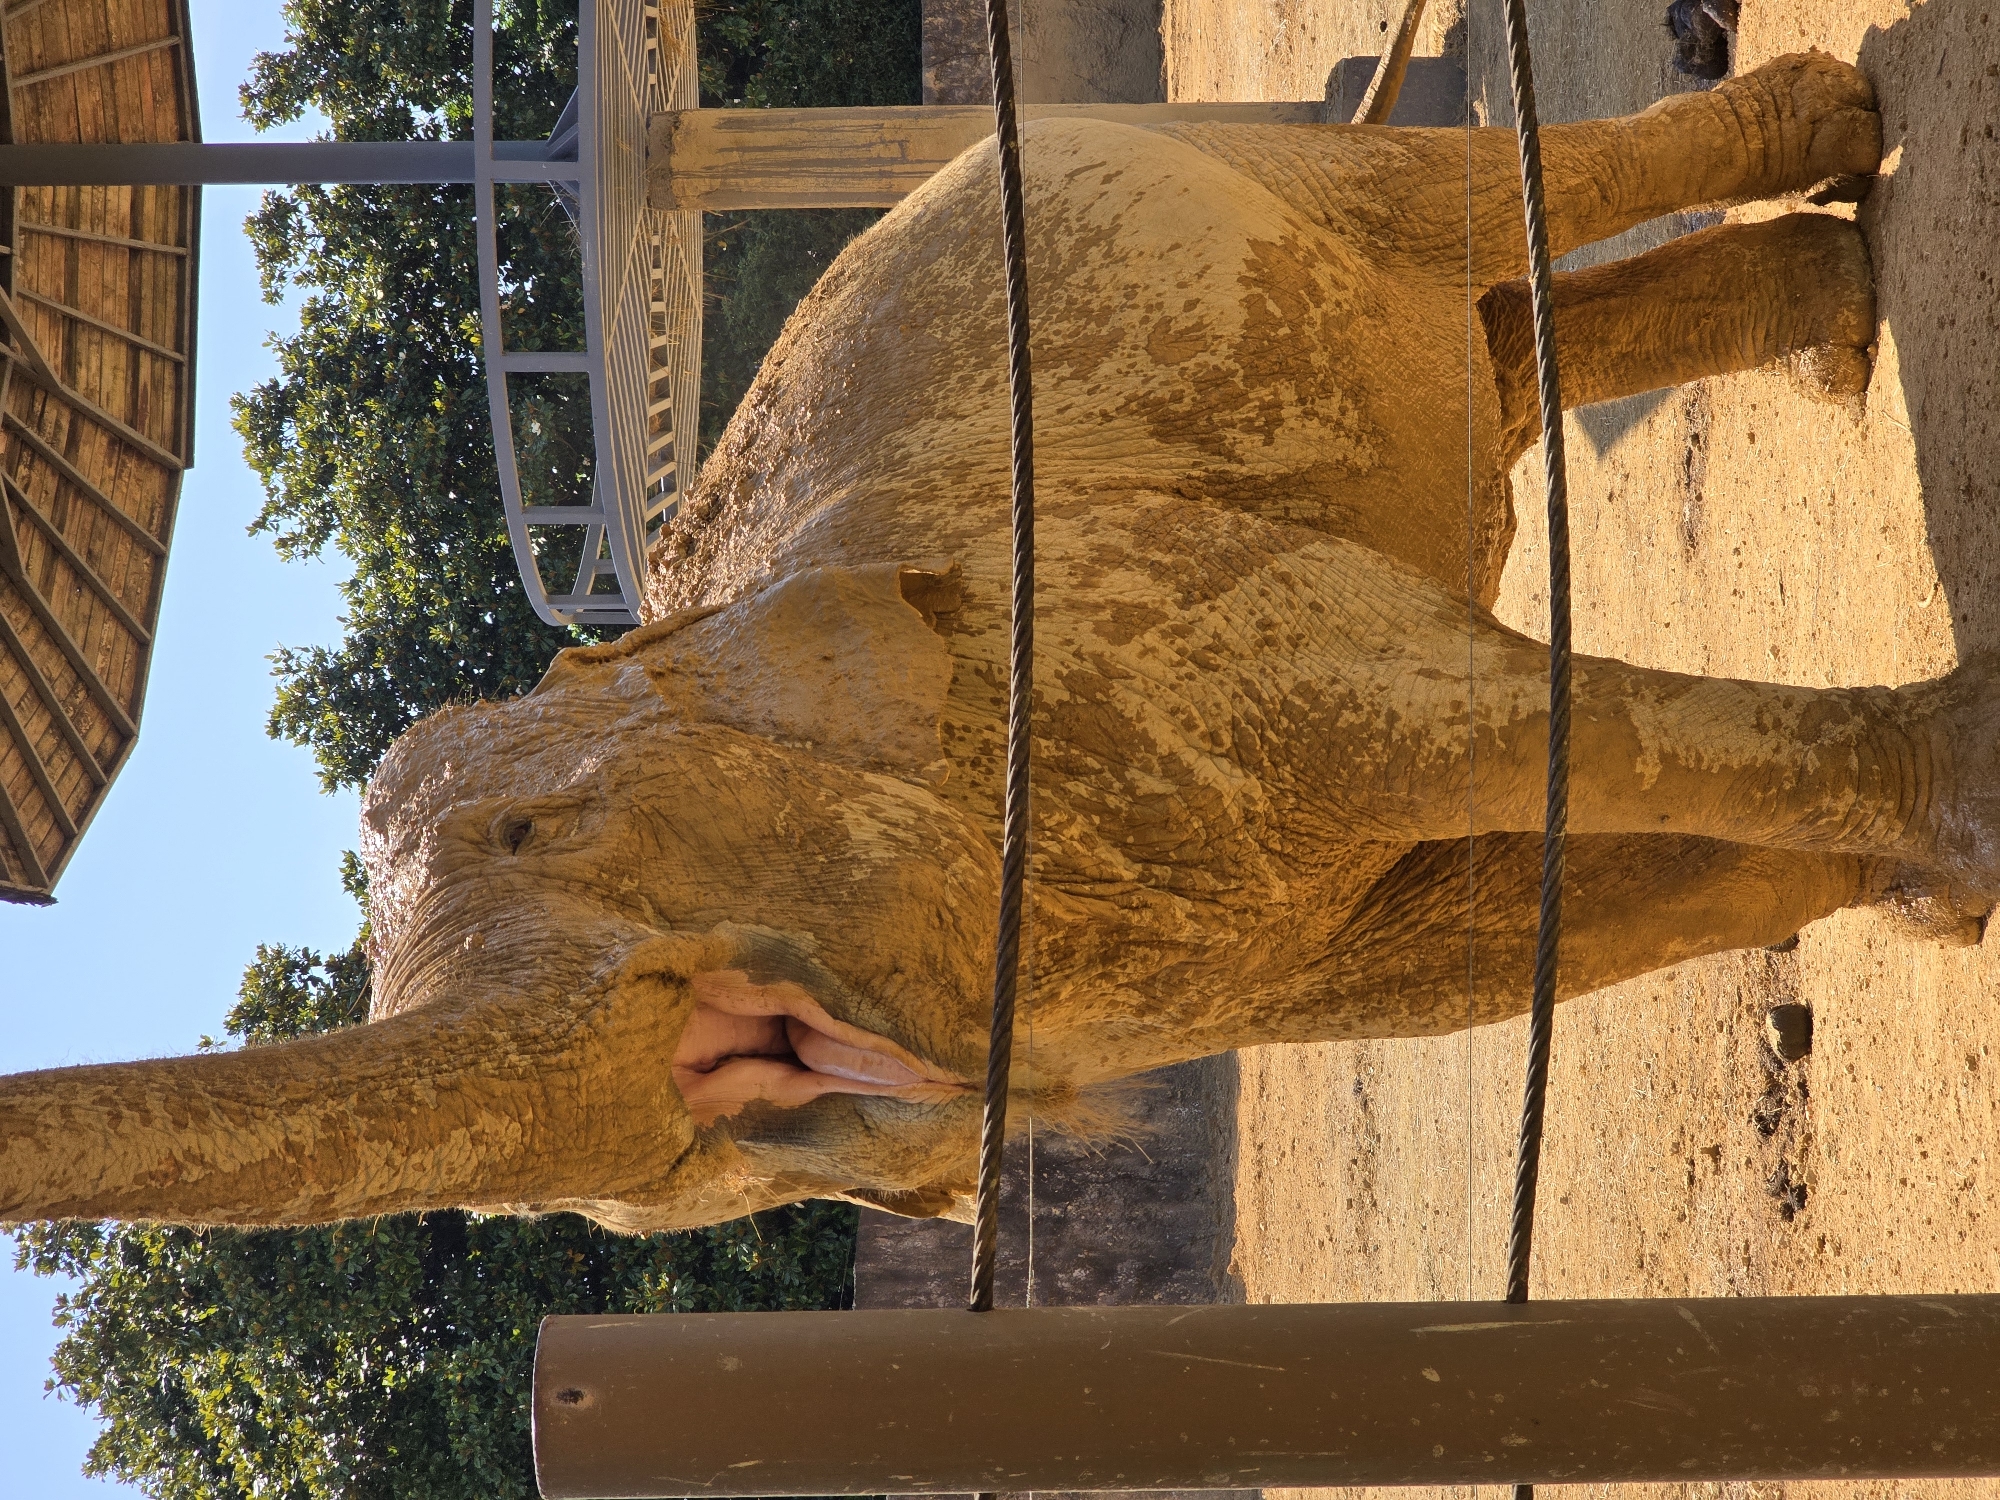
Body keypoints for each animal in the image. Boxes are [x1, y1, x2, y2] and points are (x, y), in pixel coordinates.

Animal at [5, 51, 1970, 1235]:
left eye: (536, 827)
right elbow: (1493, 938)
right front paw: (1917, 900)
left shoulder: (1107, 623)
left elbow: (1440, 711)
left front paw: (1961, 826)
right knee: (1496, 351)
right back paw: (1832, 328)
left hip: (1244, 158)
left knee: (1477, 194)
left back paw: (1839, 139)